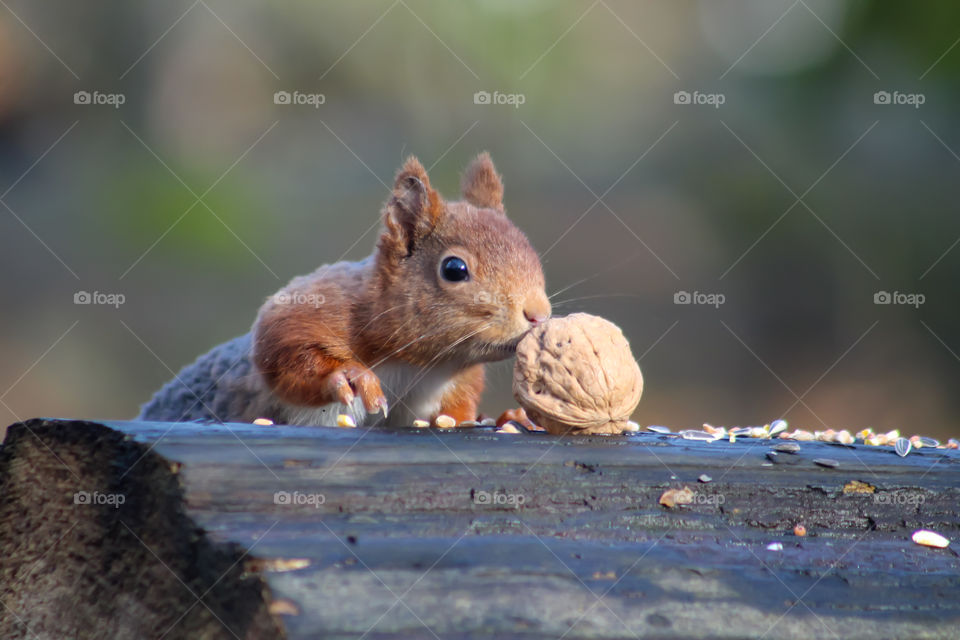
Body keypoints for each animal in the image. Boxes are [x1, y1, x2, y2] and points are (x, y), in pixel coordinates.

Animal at [137, 152, 551, 427]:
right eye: (454, 269)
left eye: (531, 252)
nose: (539, 315)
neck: (418, 363)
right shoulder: (304, 310)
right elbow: (284, 356)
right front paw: (349, 377)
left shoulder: (452, 386)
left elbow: (456, 412)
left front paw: (511, 417)